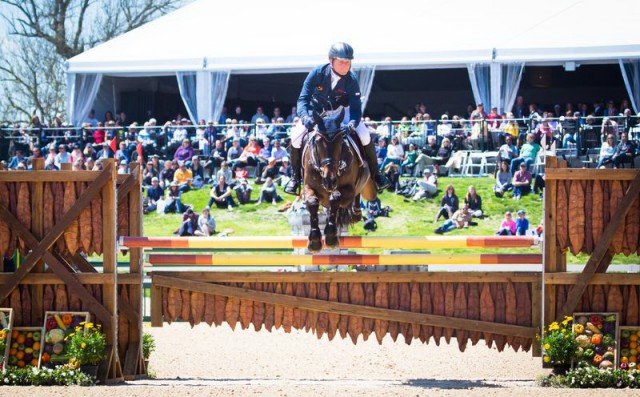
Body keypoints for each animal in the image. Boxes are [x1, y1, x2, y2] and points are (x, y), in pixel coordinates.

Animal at [302, 108, 378, 251]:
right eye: (318, 141)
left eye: (340, 142)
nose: (329, 180)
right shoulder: (308, 187)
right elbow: (313, 202)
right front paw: (314, 241)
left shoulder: (349, 189)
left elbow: (335, 199)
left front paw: (331, 237)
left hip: (367, 189)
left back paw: (355, 213)